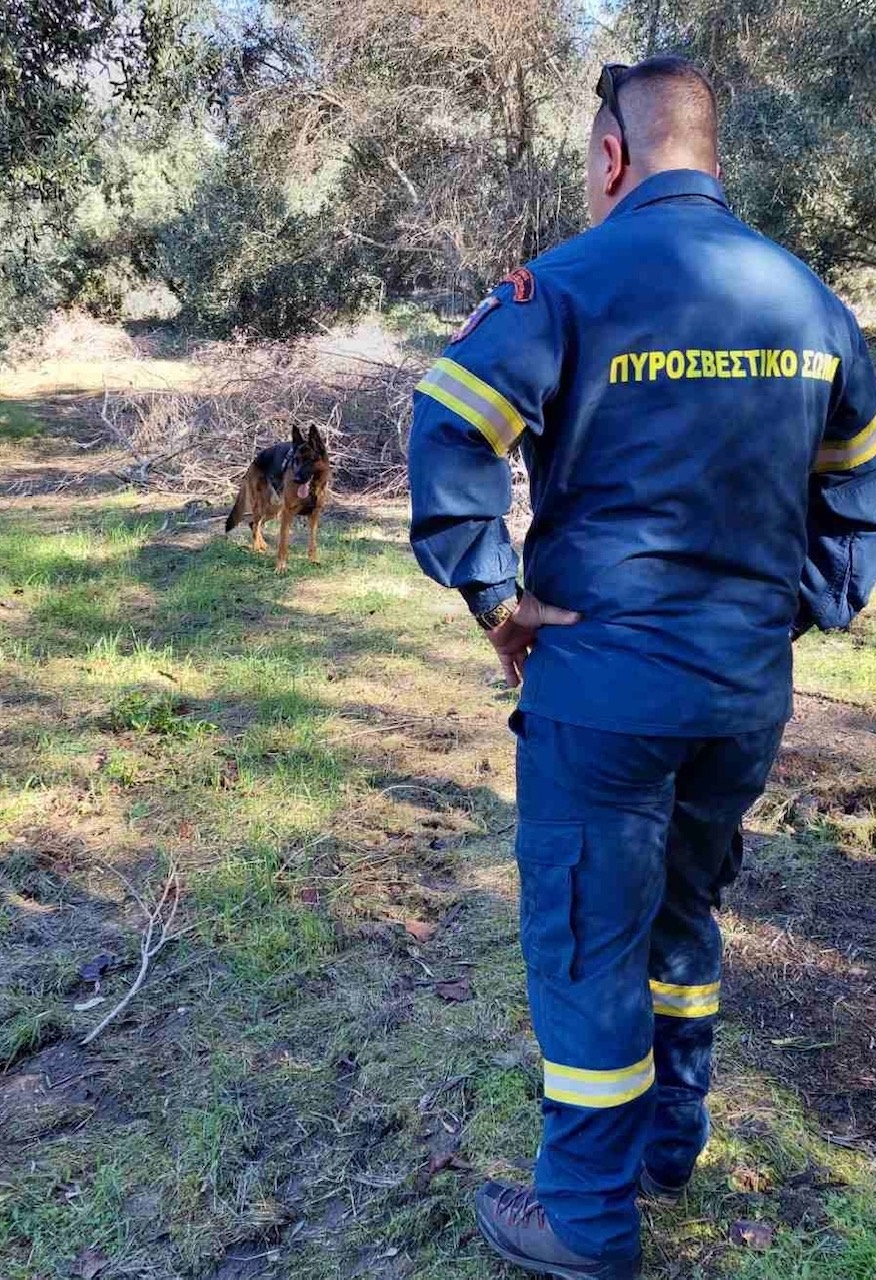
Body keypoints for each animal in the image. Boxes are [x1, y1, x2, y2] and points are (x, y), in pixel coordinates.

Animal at [225, 427, 332, 573]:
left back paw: (262, 545)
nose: (296, 479)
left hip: (275, 509)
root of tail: (255, 460)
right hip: (264, 506)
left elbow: (313, 541)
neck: (312, 489)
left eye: (310, 460)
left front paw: (313, 560)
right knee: (255, 523)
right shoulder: (288, 514)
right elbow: (283, 543)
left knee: (253, 523)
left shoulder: (314, 515)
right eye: (296, 460)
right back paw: (256, 548)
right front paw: (281, 567)